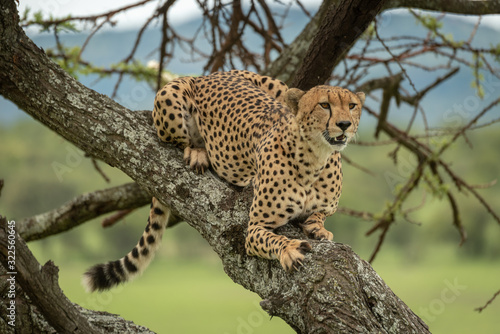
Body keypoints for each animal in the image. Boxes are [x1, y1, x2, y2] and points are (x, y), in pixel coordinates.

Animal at [82, 69, 364, 290]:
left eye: (352, 106)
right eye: (324, 105)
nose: (344, 124)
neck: (316, 158)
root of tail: (214, 74)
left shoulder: (326, 205)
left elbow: (321, 214)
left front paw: (318, 227)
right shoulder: (255, 227)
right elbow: (272, 239)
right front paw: (290, 249)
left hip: (278, 87)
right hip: (170, 95)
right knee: (176, 139)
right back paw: (198, 152)